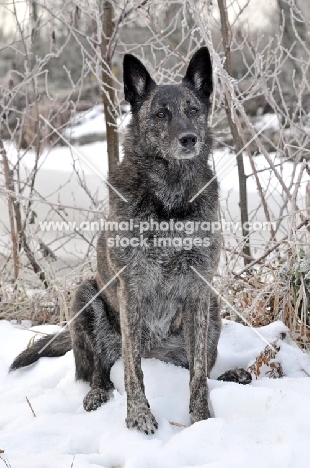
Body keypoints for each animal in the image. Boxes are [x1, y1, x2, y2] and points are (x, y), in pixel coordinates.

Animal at [10, 47, 247, 436]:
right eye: (161, 114)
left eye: (193, 110)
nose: (189, 139)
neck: (170, 201)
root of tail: (159, 355)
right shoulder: (131, 286)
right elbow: (133, 368)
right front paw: (138, 417)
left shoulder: (199, 288)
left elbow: (198, 375)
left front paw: (201, 419)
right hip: (85, 296)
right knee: (99, 370)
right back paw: (97, 394)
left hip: (211, 308)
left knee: (202, 368)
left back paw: (236, 375)